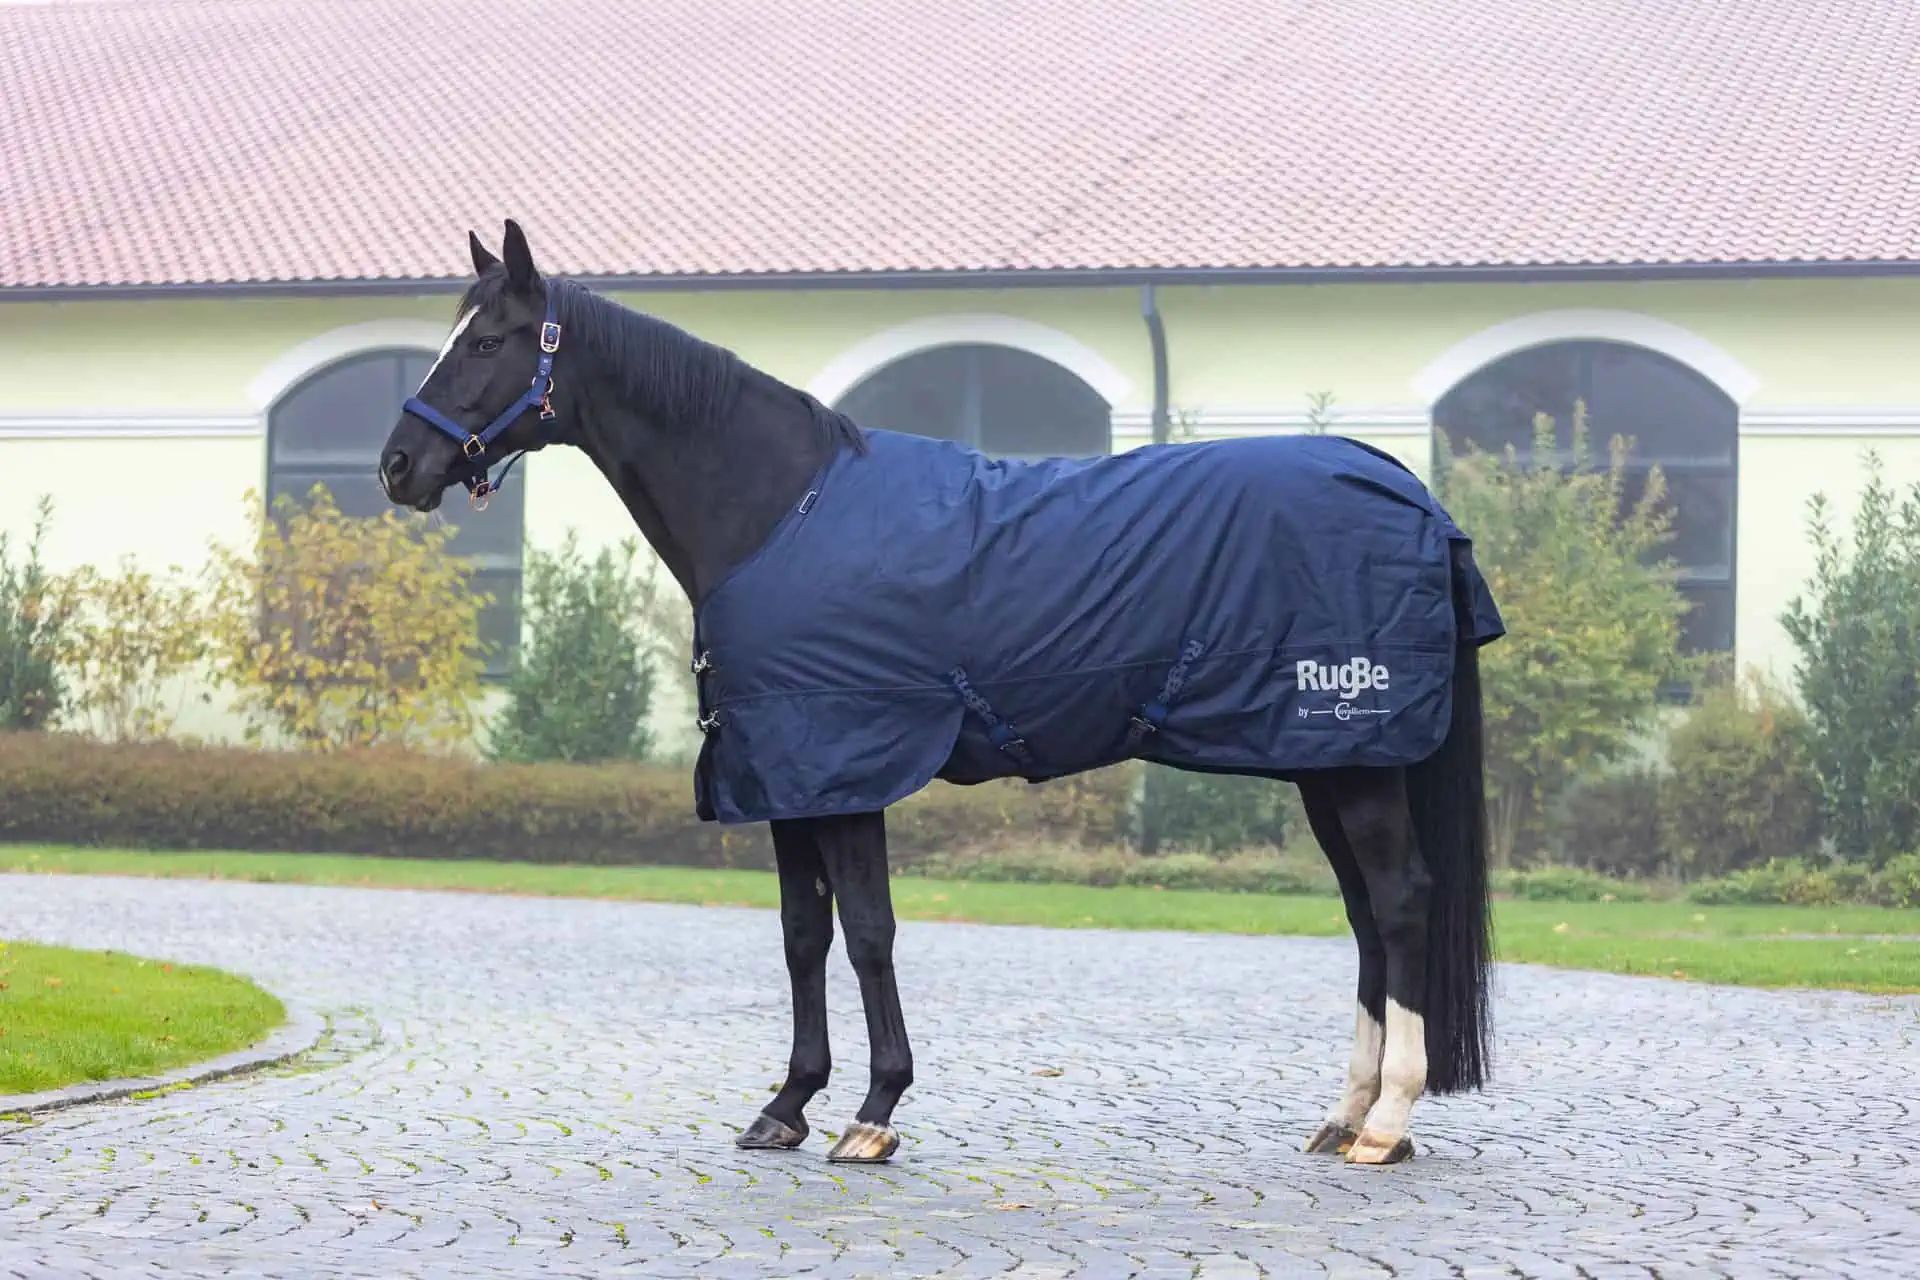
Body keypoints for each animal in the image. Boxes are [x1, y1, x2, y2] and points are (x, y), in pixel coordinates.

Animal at [378, 221, 1502, 1167]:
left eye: (490, 341)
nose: (398, 464)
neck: (779, 511)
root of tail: (1410, 491)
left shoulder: (847, 766)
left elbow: (869, 932)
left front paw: (874, 1112)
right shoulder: (786, 778)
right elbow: (803, 935)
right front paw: (788, 1103)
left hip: (1356, 758)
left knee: (1400, 902)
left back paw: (1387, 1121)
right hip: (1324, 761)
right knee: (1365, 914)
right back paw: (1344, 1114)